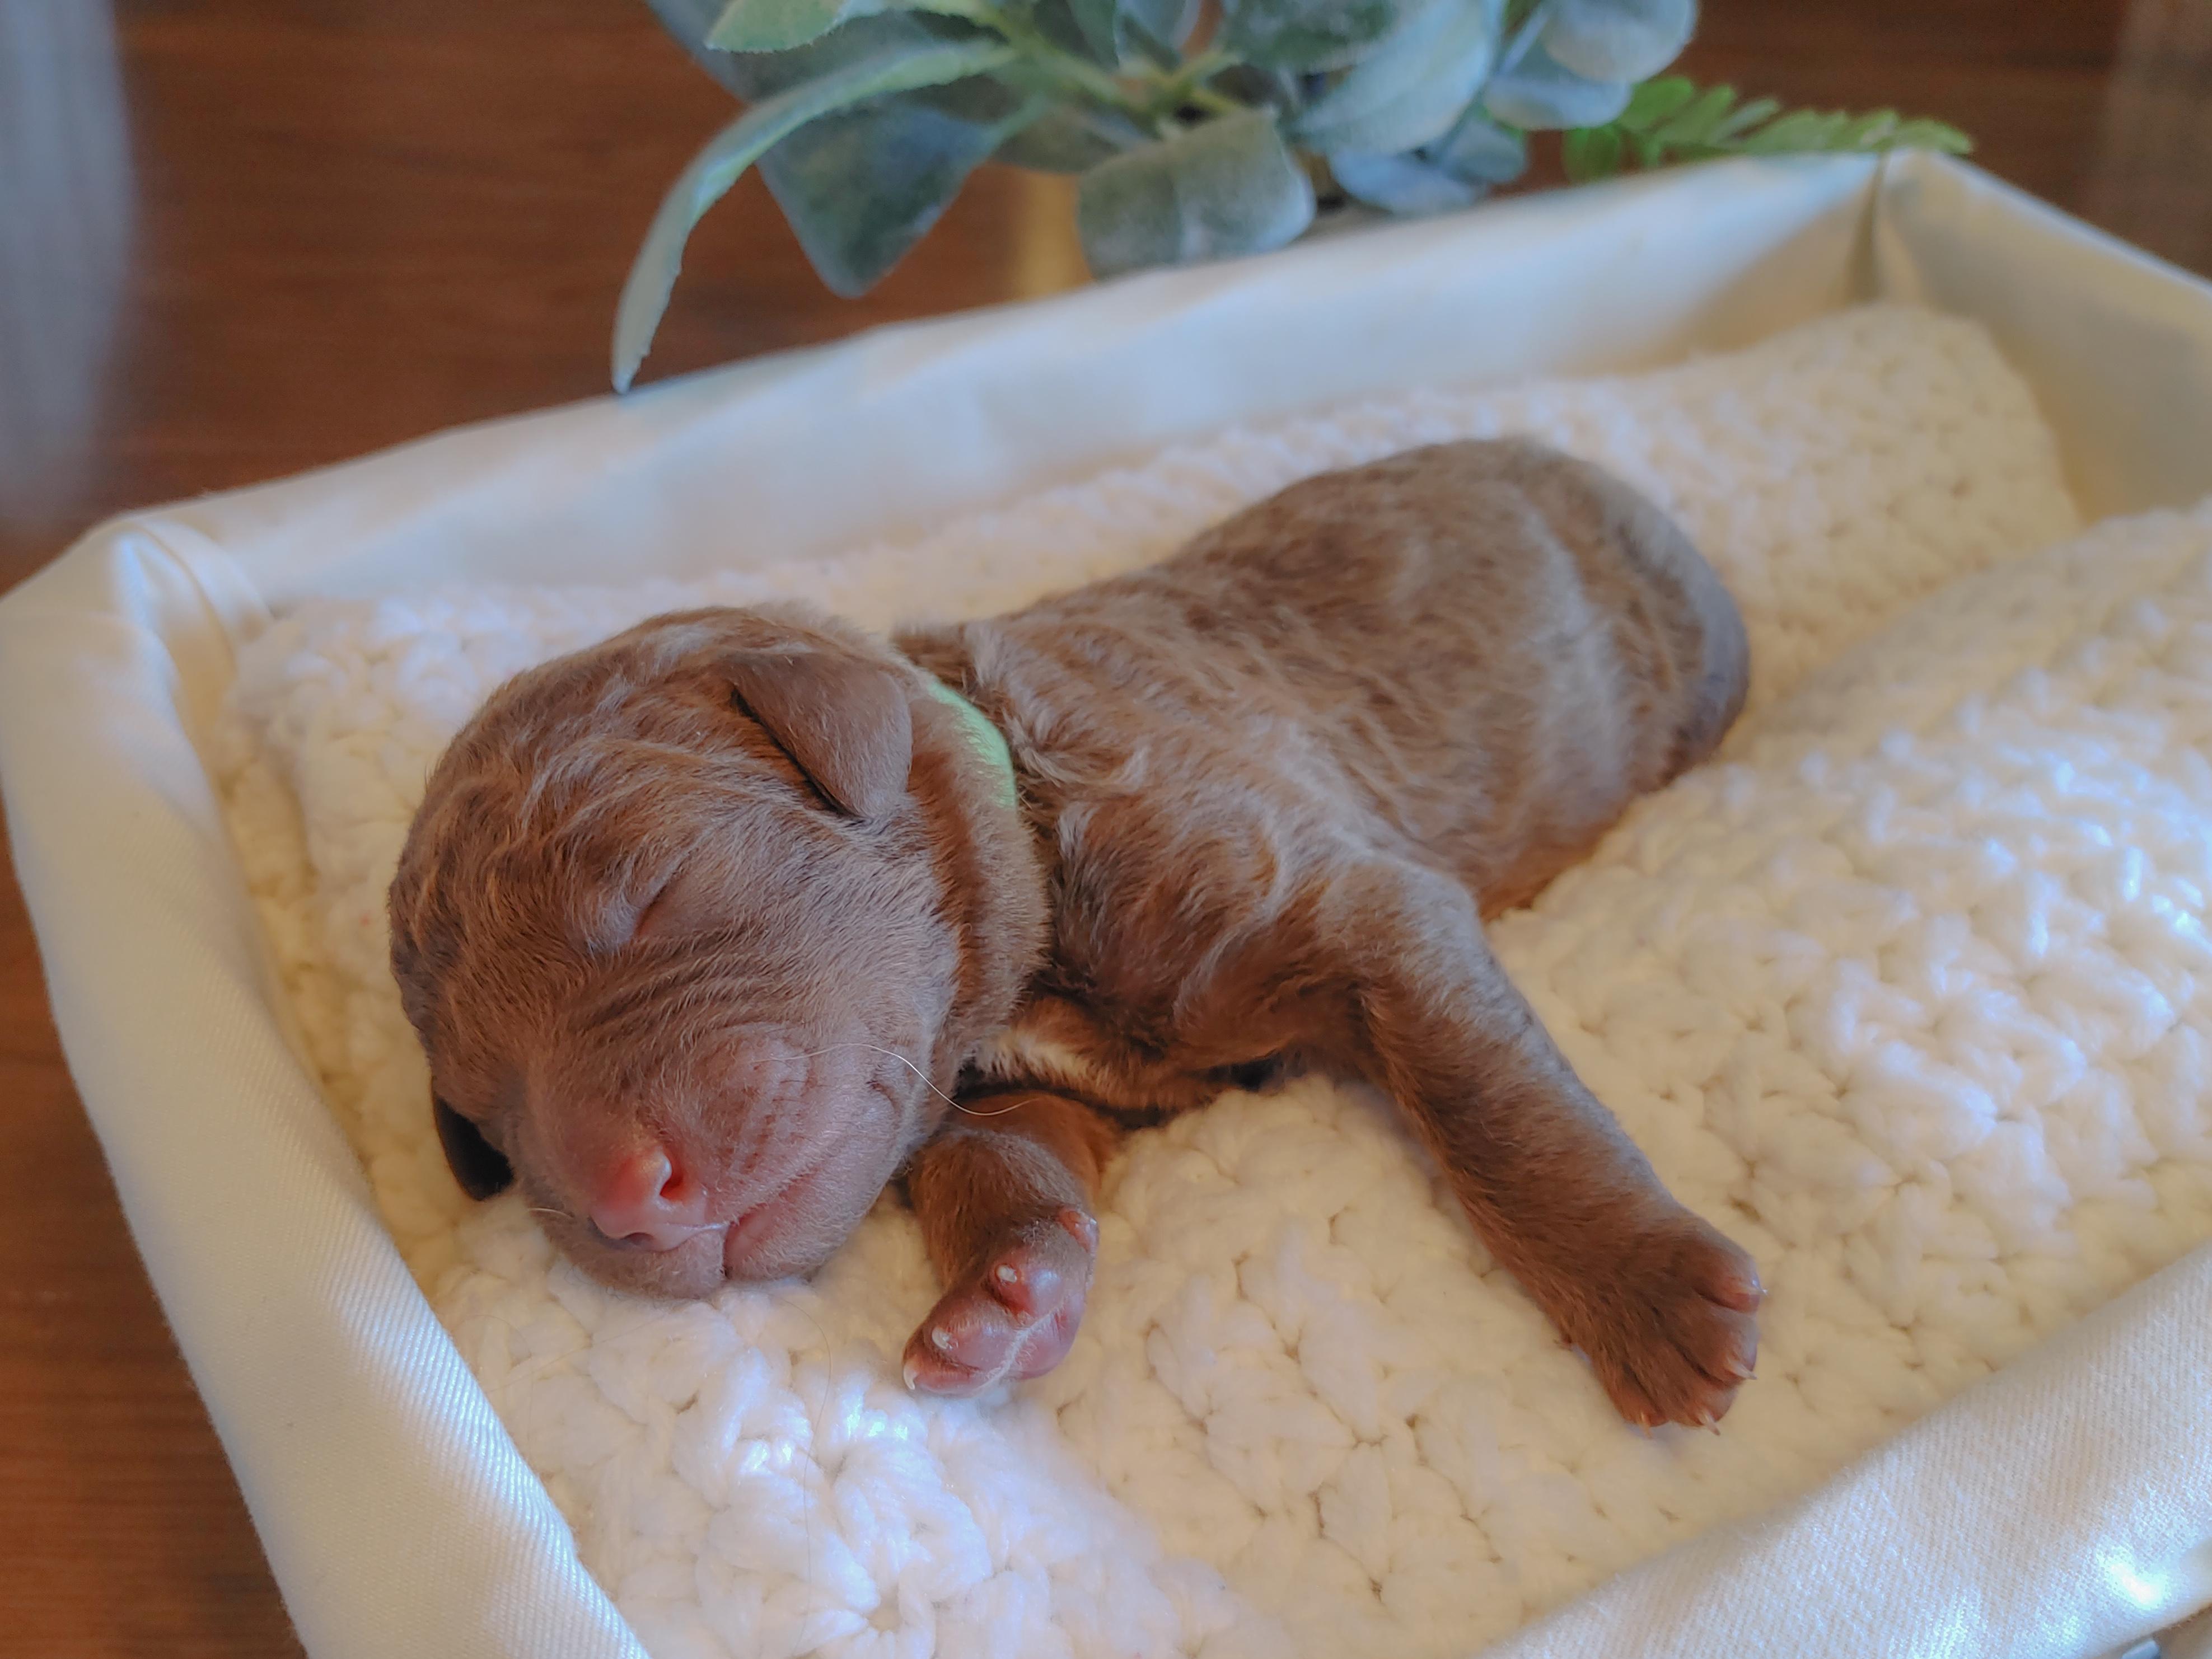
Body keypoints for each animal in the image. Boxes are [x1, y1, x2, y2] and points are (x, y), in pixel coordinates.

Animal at [389, 437, 1762, 1428]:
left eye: (654, 888)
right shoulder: (1004, 1092)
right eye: (486, 1114)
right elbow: (1008, 1167)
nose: (623, 1198)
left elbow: (1494, 1108)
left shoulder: (1330, 895)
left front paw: (1653, 1295)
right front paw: (1001, 1303)